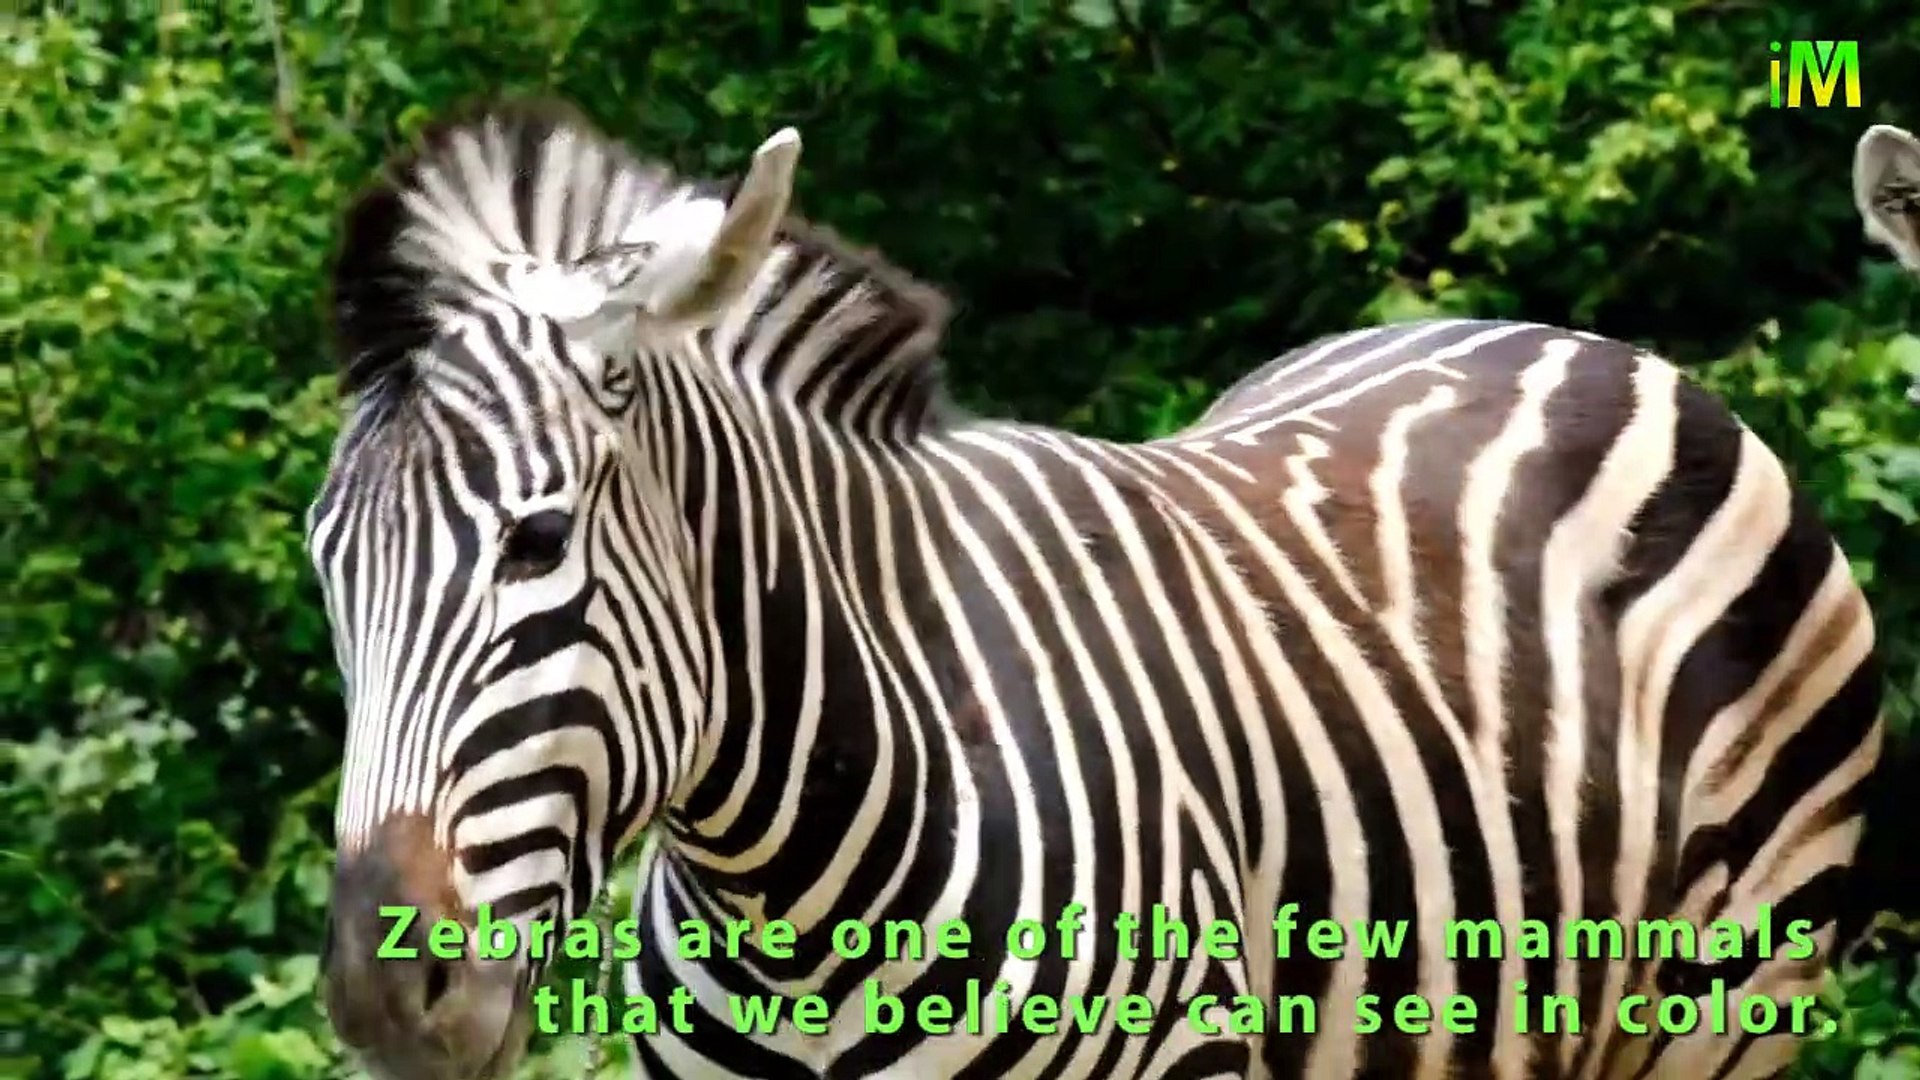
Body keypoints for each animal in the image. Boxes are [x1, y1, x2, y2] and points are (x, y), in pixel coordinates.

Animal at [310, 96, 1899, 1080]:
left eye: (535, 541)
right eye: (330, 568)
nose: (385, 996)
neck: (797, 885)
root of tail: (1571, 339)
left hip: (1735, 1002)